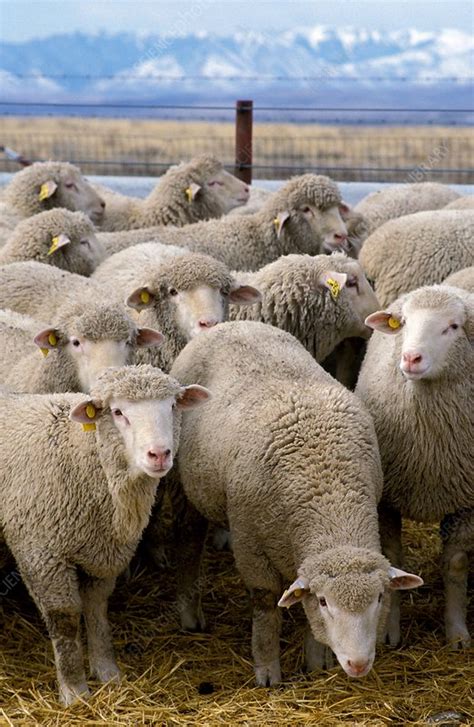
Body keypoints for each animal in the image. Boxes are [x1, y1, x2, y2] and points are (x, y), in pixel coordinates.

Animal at [0, 364, 210, 704]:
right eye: (118, 412)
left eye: (172, 406)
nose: (159, 454)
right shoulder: (41, 552)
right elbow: (65, 619)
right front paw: (74, 690)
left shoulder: (102, 551)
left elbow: (97, 610)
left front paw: (107, 672)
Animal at [167, 321, 422, 686]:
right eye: (325, 602)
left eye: (378, 597)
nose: (358, 664)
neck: (330, 497)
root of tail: (231, 324)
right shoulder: (250, 545)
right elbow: (265, 606)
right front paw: (267, 669)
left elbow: (302, 609)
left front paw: (316, 662)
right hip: (183, 486)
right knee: (188, 542)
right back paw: (190, 613)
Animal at [356, 284, 474, 649]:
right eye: (404, 322)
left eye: (453, 326)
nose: (410, 358)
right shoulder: (386, 500)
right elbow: (391, 559)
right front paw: (388, 631)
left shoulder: (466, 502)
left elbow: (456, 565)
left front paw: (457, 633)